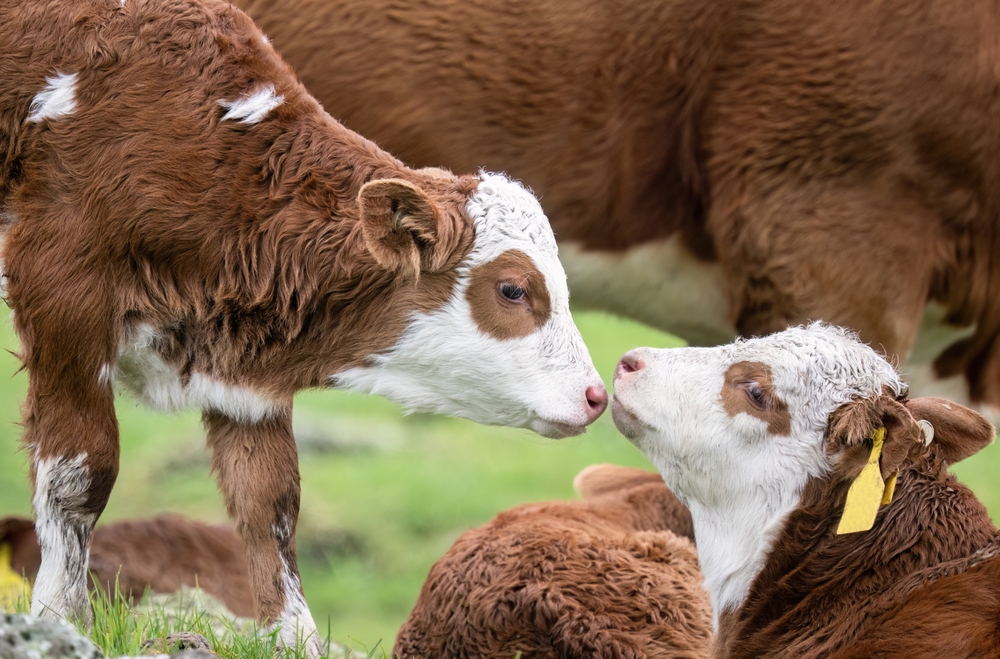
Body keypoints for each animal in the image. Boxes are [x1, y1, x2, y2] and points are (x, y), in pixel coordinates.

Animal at [0, 0, 606, 654]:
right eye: (513, 289)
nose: (596, 395)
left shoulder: (245, 378)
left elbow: (269, 503)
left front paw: (296, 635)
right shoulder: (64, 298)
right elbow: (81, 473)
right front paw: (60, 615)